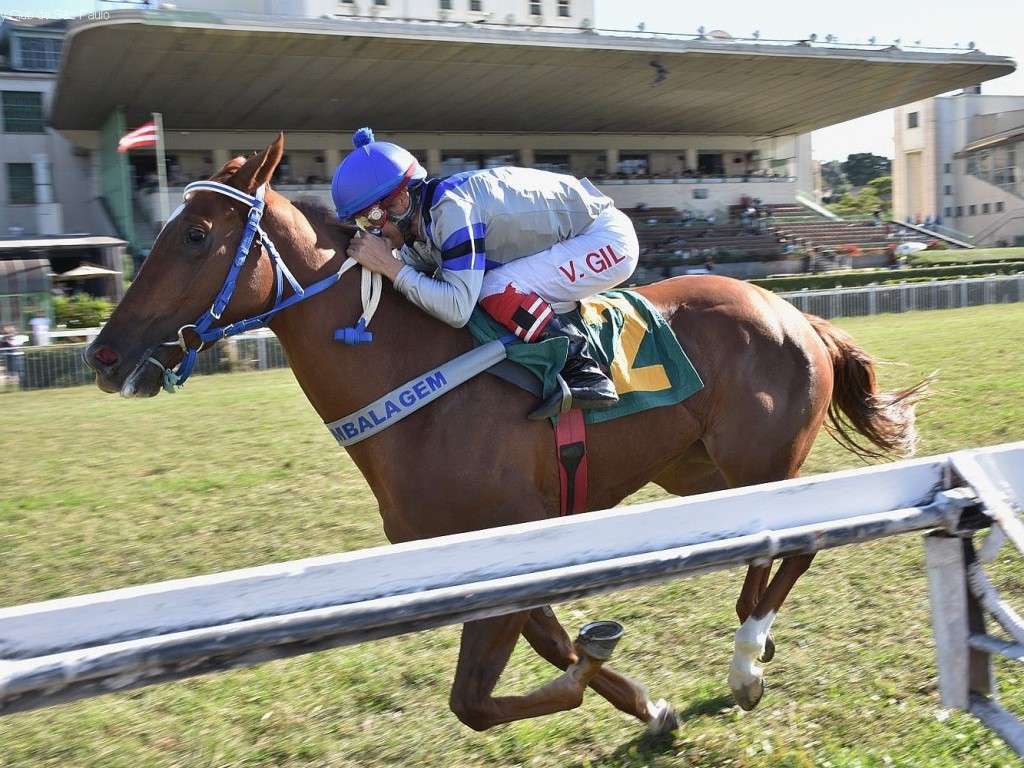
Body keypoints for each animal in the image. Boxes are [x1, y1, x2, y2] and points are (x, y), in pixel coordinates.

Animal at [83, 135, 925, 737]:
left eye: (195, 235)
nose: (103, 355)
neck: (418, 384)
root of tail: (794, 312)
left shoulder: (511, 537)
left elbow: (475, 702)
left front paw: (605, 672)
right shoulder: (496, 562)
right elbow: (541, 654)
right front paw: (646, 704)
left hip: (760, 460)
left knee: (802, 540)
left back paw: (747, 660)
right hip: (697, 471)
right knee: (768, 548)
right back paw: (758, 641)